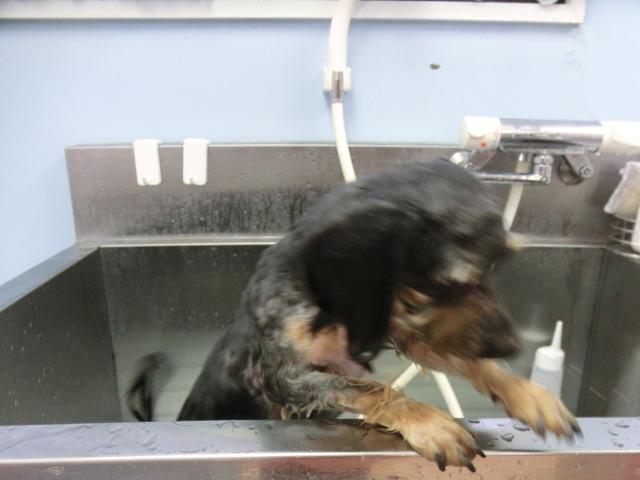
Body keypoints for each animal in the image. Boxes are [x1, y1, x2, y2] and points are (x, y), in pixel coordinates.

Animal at [127, 159, 580, 472]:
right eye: (445, 282)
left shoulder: (402, 330)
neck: (326, 304)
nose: (512, 346)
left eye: (500, 264)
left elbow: (466, 362)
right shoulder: (286, 378)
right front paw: (431, 422)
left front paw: (528, 394)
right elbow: (364, 388)